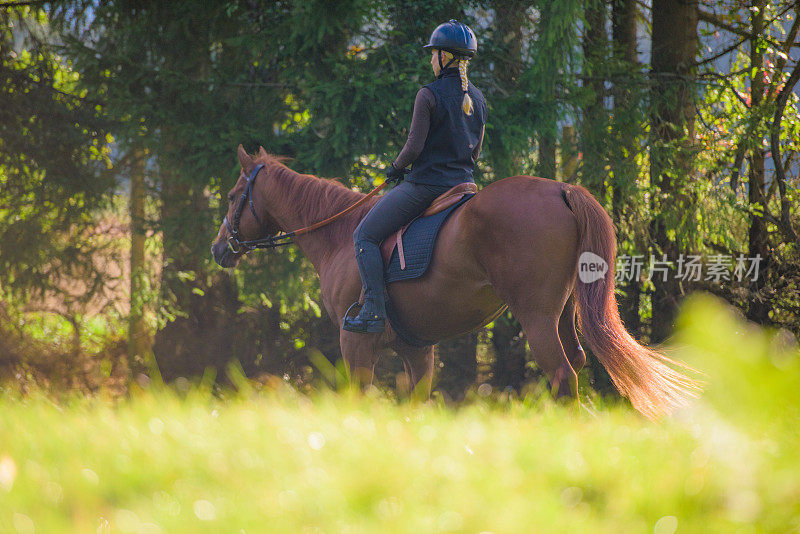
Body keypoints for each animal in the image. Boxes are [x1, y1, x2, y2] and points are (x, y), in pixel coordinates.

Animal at [214, 146, 700, 418]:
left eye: (235, 196)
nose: (220, 249)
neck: (340, 234)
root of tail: (562, 189)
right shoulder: (416, 348)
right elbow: (416, 402)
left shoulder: (355, 342)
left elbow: (358, 395)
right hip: (564, 312)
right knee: (575, 364)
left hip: (536, 316)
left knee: (562, 374)